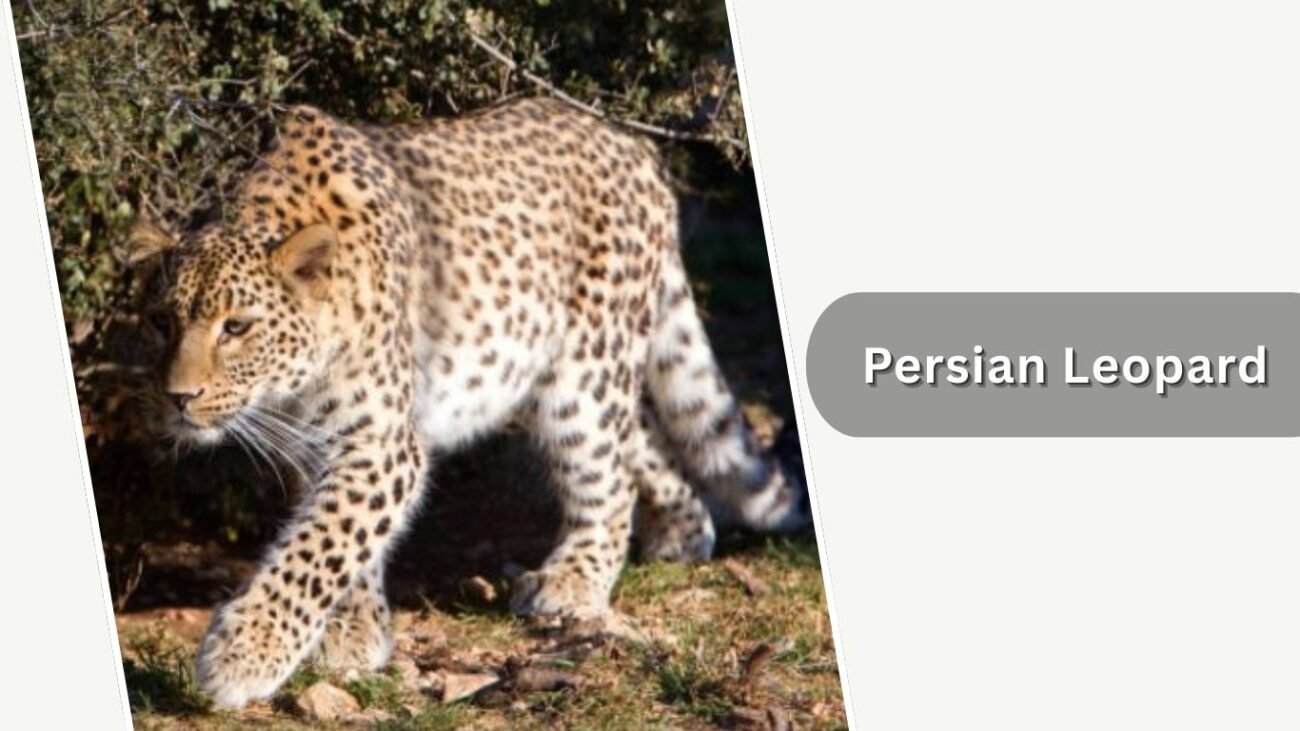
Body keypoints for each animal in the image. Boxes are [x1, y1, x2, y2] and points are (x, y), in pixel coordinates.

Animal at [128, 97, 811, 709]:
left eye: (236, 328)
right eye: (161, 322)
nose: (178, 397)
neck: (291, 387)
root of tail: (630, 144)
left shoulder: (382, 443)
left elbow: (322, 545)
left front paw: (245, 653)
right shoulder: (313, 448)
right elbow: (342, 539)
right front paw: (355, 632)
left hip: (582, 374)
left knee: (607, 472)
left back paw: (576, 579)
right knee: (642, 437)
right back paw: (682, 532)